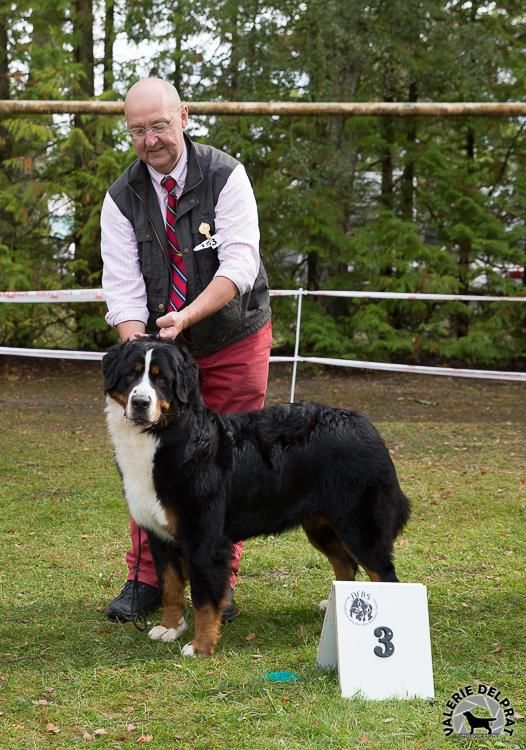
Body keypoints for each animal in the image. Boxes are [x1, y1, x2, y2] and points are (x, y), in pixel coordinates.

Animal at [101, 340, 410, 656]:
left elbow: (204, 600)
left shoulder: (204, 539)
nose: (140, 402)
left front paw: (201, 647)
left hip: (359, 526)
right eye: (131, 375)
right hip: (321, 525)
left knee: (384, 575)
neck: (165, 436)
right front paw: (170, 627)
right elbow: (170, 587)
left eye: (161, 379)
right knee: (345, 564)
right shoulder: (159, 536)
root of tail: (364, 424)